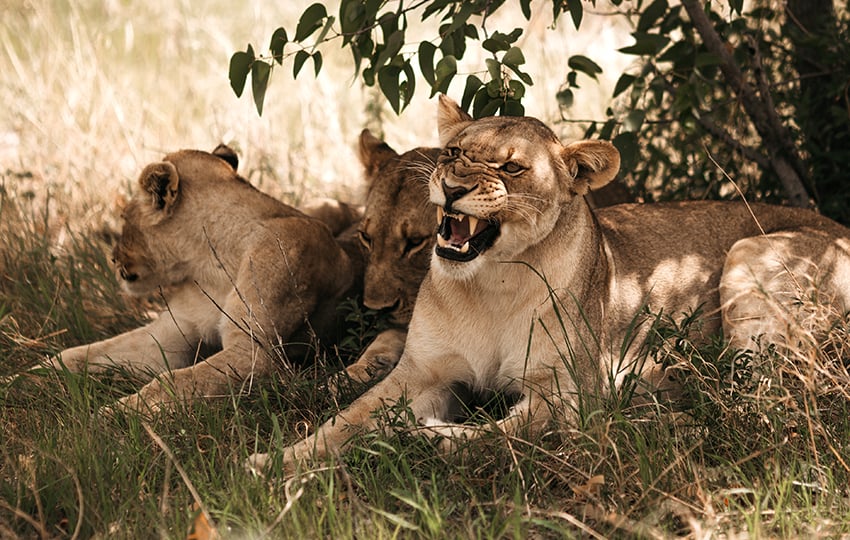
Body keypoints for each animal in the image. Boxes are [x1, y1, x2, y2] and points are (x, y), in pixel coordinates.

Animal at [245, 96, 848, 472]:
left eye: (512, 169)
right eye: (454, 153)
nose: (453, 185)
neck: (489, 284)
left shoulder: (565, 393)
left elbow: (504, 435)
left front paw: (421, 436)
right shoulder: (420, 372)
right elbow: (343, 420)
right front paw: (274, 462)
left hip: (750, 259)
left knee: (763, 398)